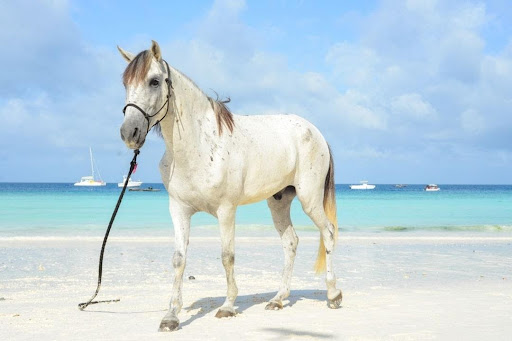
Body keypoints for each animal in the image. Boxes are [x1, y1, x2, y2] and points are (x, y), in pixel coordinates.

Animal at [116, 41, 340, 330]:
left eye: (154, 81)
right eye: (125, 83)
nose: (129, 133)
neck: (199, 145)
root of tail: (316, 132)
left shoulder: (226, 210)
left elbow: (227, 256)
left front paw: (227, 306)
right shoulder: (178, 210)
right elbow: (178, 259)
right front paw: (171, 316)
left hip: (310, 199)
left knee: (328, 232)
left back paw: (333, 294)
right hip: (279, 201)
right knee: (290, 242)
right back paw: (278, 299)